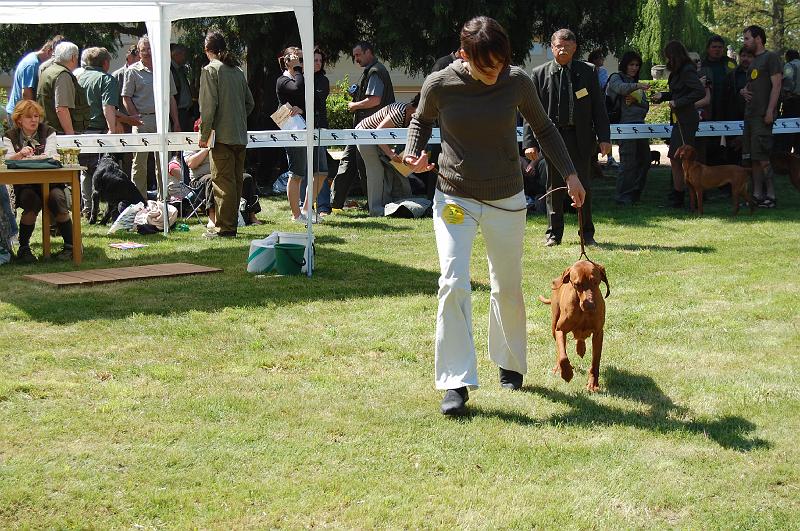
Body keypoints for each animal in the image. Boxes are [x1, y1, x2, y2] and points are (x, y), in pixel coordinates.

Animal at [540, 260, 608, 392]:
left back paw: (581, 348)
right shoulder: (560, 330)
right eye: (577, 284)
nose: (590, 306)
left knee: (580, 337)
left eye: (595, 282)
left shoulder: (598, 333)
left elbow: (595, 362)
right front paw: (566, 373)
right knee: (560, 349)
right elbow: (563, 356)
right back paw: (558, 368)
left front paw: (593, 384)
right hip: (554, 324)